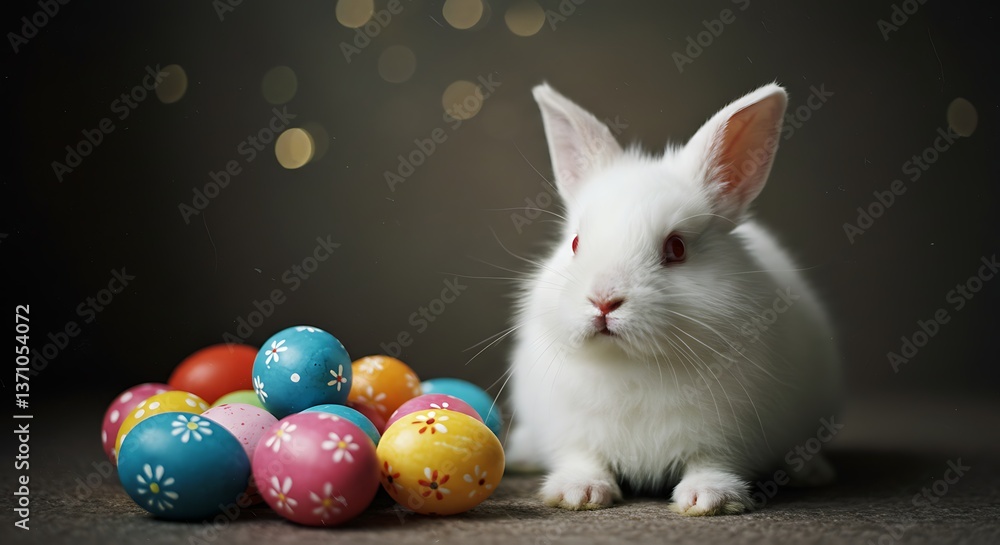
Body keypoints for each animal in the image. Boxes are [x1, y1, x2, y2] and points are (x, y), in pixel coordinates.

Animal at [503, 82, 843, 516]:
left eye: (677, 248)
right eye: (577, 243)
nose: (603, 301)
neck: (631, 365)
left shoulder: (731, 434)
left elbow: (712, 461)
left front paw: (710, 499)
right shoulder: (571, 428)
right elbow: (583, 457)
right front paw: (577, 492)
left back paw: (812, 472)